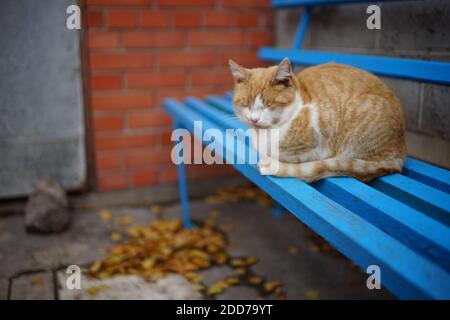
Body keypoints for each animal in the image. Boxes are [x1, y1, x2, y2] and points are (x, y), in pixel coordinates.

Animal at [230, 58, 406, 182]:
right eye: (246, 105)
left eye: (268, 105)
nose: (254, 119)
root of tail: (401, 150)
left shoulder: (321, 148)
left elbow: (298, 163)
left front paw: (271, 162)